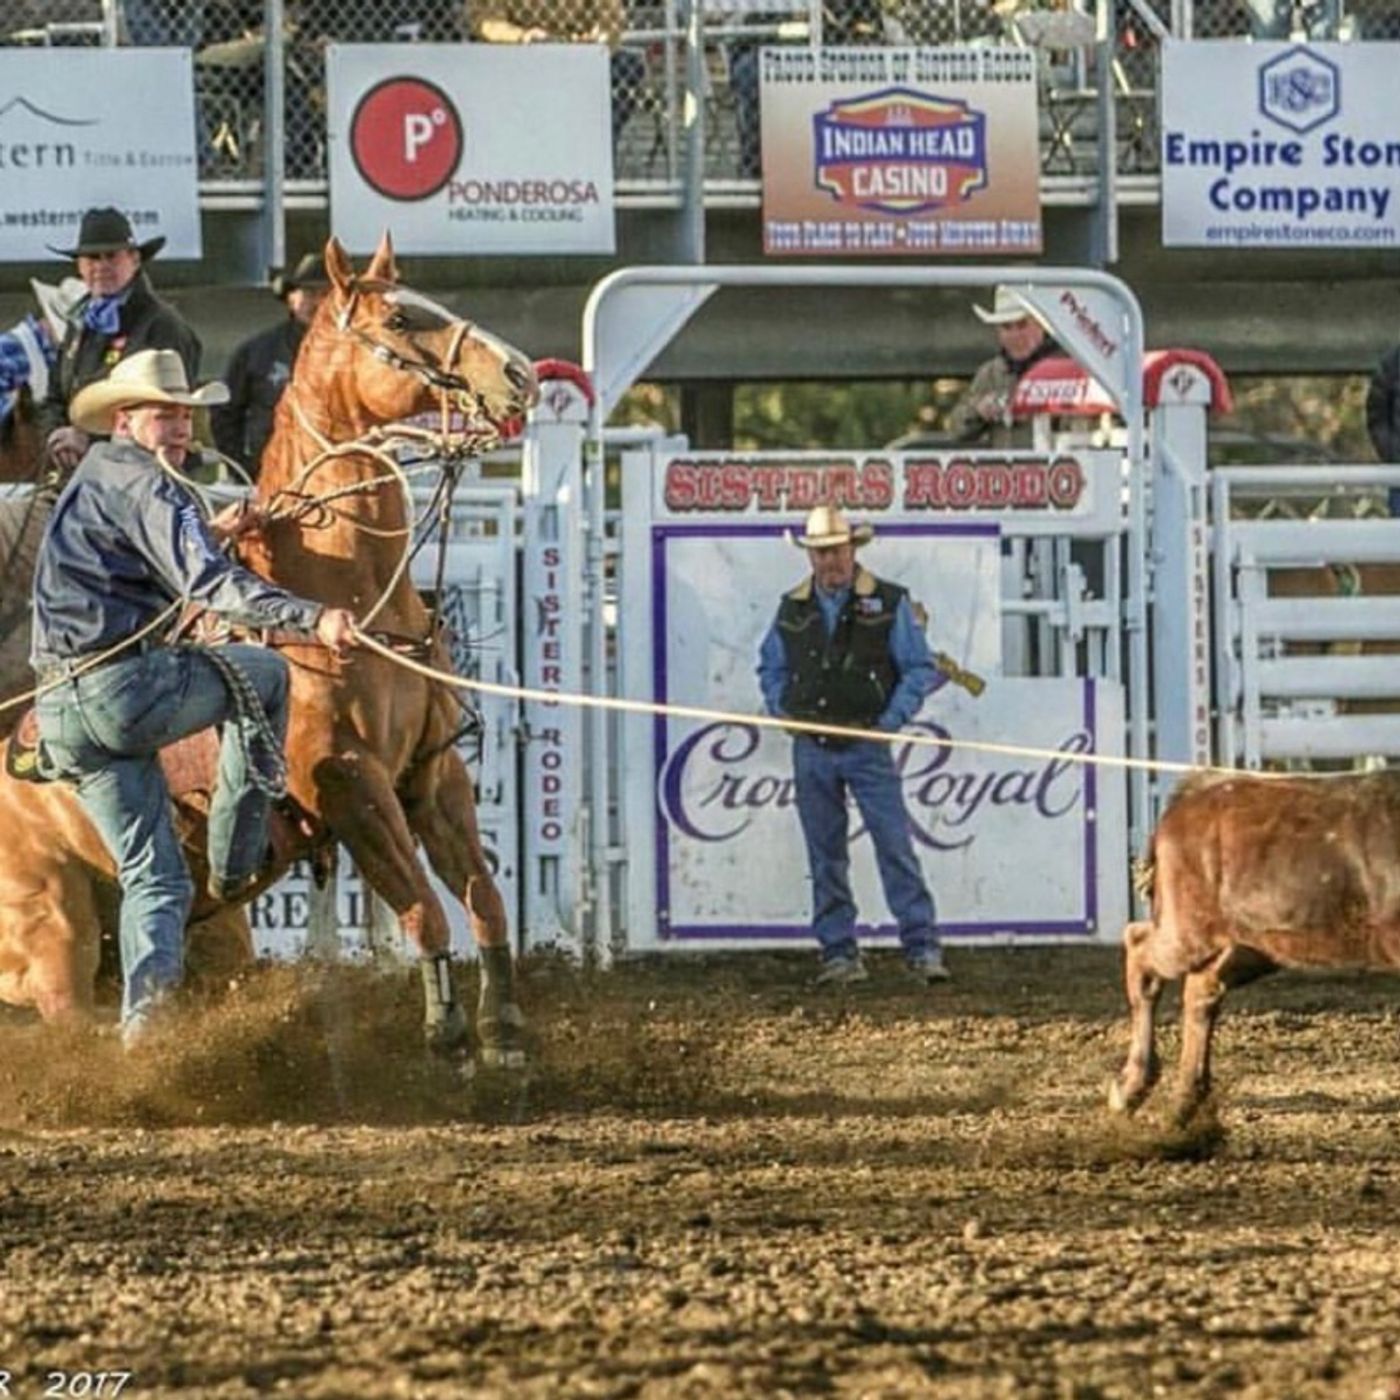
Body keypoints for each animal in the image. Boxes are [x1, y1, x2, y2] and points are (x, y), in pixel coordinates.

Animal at [1114, 772, 1400, 1120]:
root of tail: (1190, 798)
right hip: (1186, 931)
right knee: (1140, 950)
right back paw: (1130, 1089)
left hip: (1249, 945)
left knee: (1202, 991)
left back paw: (1185, 1102)